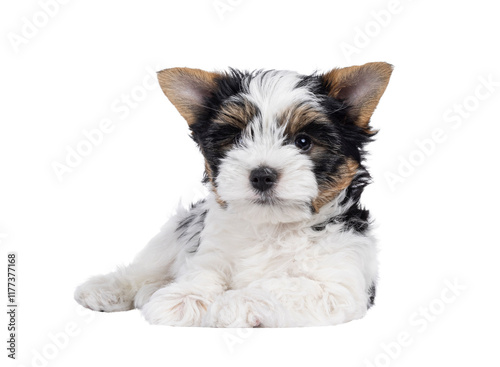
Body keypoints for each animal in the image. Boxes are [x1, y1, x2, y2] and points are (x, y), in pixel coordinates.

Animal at [75, 62, 394, 328]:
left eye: (303, 142)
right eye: (237, 139)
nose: (262, 175)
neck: (272, 227)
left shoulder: (340, 287)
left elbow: (284, 286)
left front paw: (235, 302)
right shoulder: (209, 250)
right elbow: (203, 271)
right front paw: (184, 297)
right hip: (176, 231)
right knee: (147, 267)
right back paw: (111, 289)